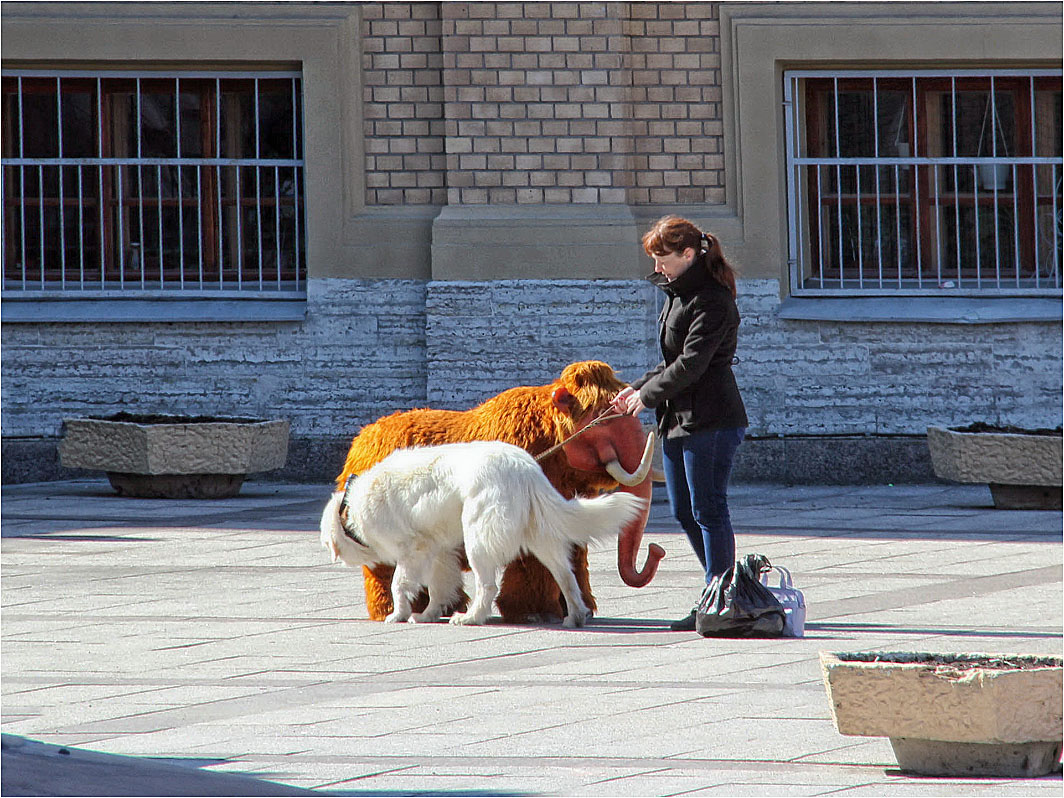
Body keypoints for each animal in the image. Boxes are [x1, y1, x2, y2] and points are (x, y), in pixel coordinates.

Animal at [319, 440, 642, 629]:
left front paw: (397, 614)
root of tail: (525, 469)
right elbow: (439, 587)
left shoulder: (414, 549)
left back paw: (472, 617)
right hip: (542, 540)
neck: (350, 508)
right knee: (567, 579)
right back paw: (574, 617)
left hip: (477, 538)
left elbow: (400, 584)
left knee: (488, 586)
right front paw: (428, 614)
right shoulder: (439, 552)